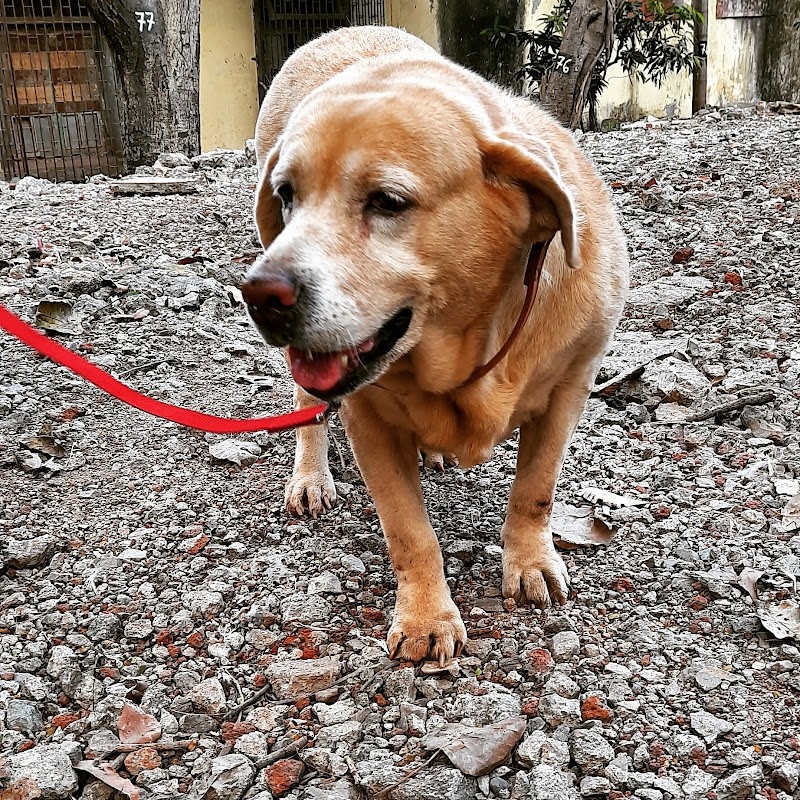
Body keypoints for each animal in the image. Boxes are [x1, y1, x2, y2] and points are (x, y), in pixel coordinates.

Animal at [241, 26, 628, 665]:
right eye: (287, 194)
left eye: (387, 201)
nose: (259, 294)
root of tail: (342, 30)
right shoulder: (369, 421)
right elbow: (408, 531)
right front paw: (426, 615)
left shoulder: (571, 385)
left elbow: (536, 489)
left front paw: (529, 560)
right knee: (308, 407)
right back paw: (311, 475)